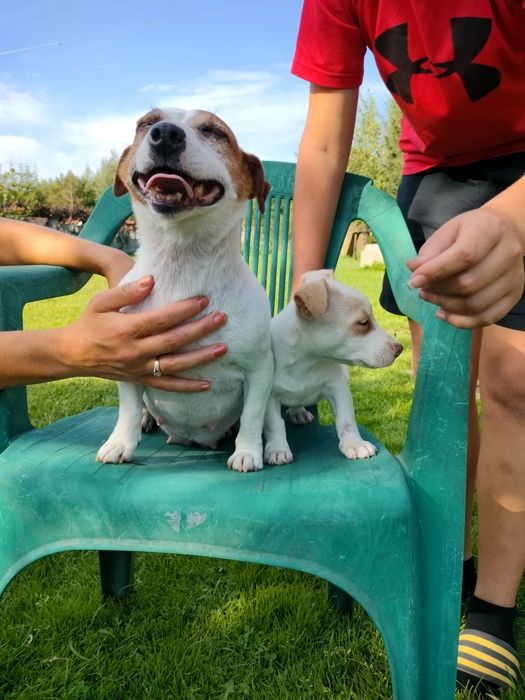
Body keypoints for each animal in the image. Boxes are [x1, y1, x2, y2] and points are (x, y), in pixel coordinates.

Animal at [95, 106, 272, 474]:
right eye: (145, 123)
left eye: (215, 132)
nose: (165, 133)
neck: (182, 261)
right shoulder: (127, 365)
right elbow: (128, 408)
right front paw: (120, 443)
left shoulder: (260, 368)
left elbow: (252, 415)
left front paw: (248, 451)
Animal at [262, 270, 402, 468]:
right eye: (363, 323)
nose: (400, 349)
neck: (307, 362)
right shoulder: (268, 396)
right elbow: (274, 424)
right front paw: (277, 449)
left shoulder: (338, 389)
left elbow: (346, 420)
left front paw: (354, 444)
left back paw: (299, 412)